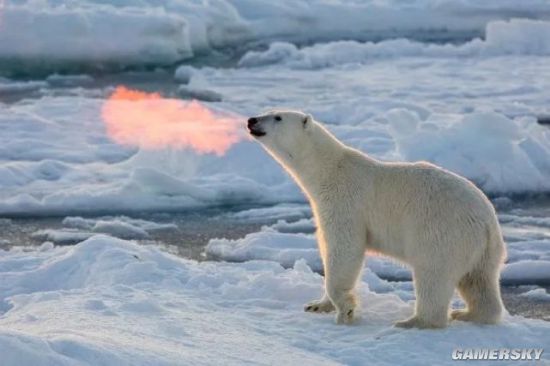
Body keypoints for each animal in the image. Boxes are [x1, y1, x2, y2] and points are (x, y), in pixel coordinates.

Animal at [248, 109, 506, 328]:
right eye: (268, 111)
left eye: (277, 117)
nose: (251, 120)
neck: (328, 170)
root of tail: (487, 222)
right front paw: (316, 305)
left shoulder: (345, 202)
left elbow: (344, 248)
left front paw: (346, 310)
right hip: (482, 250)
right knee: (479, 280)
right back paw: (469, 314)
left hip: (442, 232)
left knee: (433, 274)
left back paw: (414, 321)